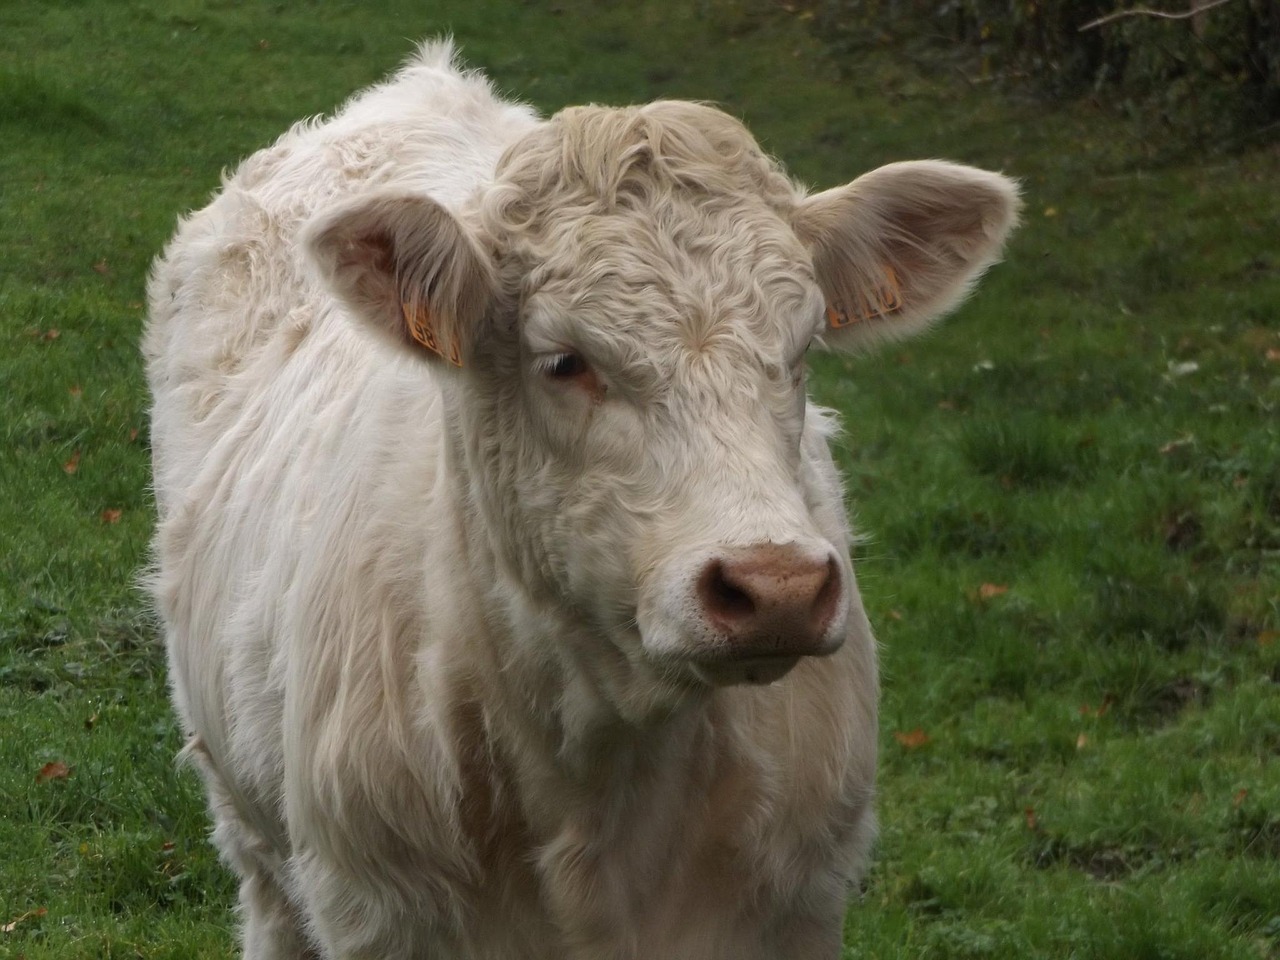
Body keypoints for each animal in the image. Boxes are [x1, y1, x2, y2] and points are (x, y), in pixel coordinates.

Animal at [142, 39, 1018, 960]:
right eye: (565, 361)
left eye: (804, 346)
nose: (776, 585)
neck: (602, 778)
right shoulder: (378, 911)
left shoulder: (796, 907)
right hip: (252, 833)